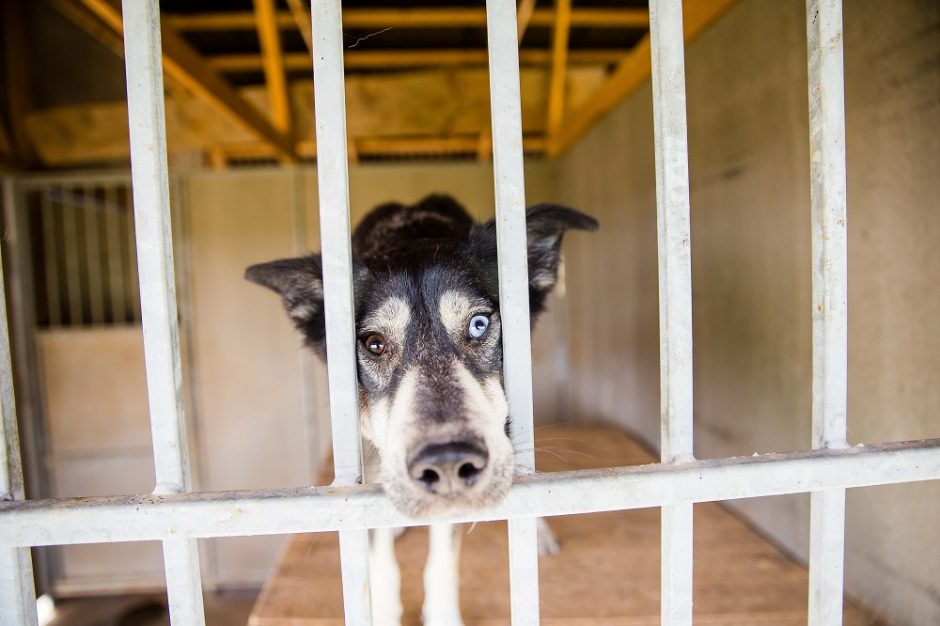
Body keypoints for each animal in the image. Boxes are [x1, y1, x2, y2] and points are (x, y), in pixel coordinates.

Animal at [246, 193, 600, 620]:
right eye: (374, 344)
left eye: (479, 324)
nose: (447, 463)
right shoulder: (367, 455)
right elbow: (378, 550)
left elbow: (443, 554)